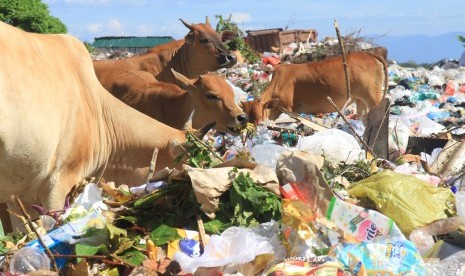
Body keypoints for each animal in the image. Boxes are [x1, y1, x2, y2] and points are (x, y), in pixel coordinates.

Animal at [241, 51, 386, 122]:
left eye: (259, 119)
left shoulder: (289, 109)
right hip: (360, 100)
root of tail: (369, 54)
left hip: (373, 98)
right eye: (247, 118)